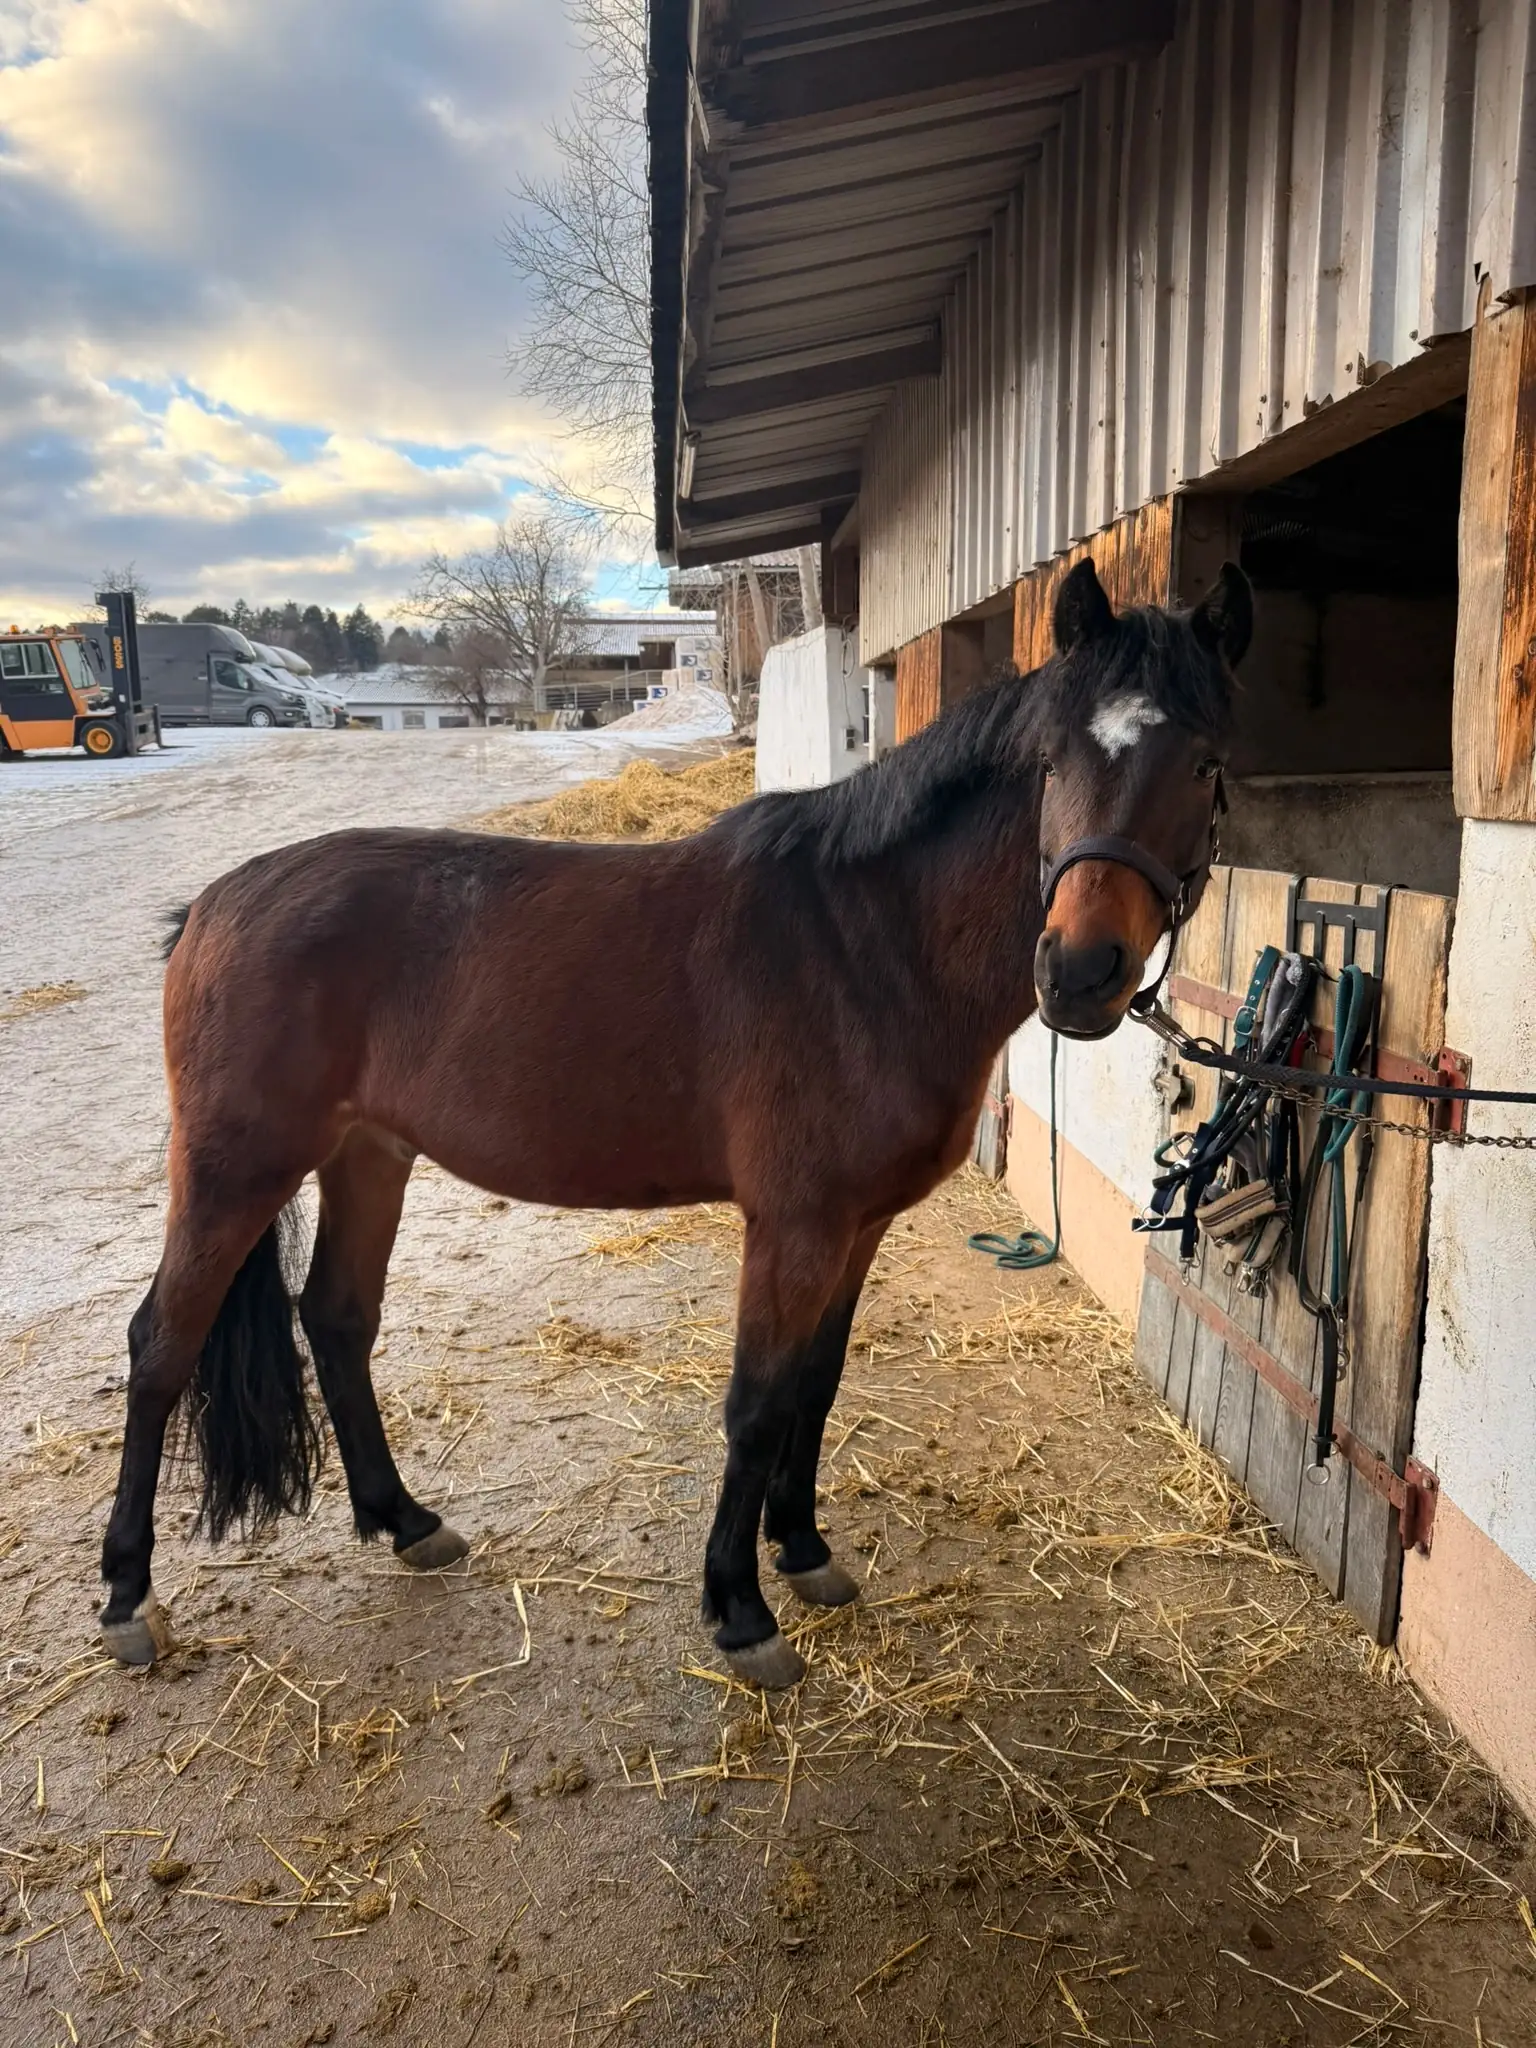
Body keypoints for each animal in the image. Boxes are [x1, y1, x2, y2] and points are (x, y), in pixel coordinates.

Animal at [99, 557, 1252, 1689]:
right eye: (1051, 761)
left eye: (1205, 764)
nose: (1080, 973)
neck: (864, 943)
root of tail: (211, 906)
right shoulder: (792, 1227)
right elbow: (756, 1403)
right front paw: (739, 1609)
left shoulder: (857, 1226)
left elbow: (816, 1388)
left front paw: (805, 1551)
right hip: (237, 1166)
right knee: (162, 1342)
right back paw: (126, 1597)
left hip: (367, 1155)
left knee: (337, 1318)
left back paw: (407, 1521)